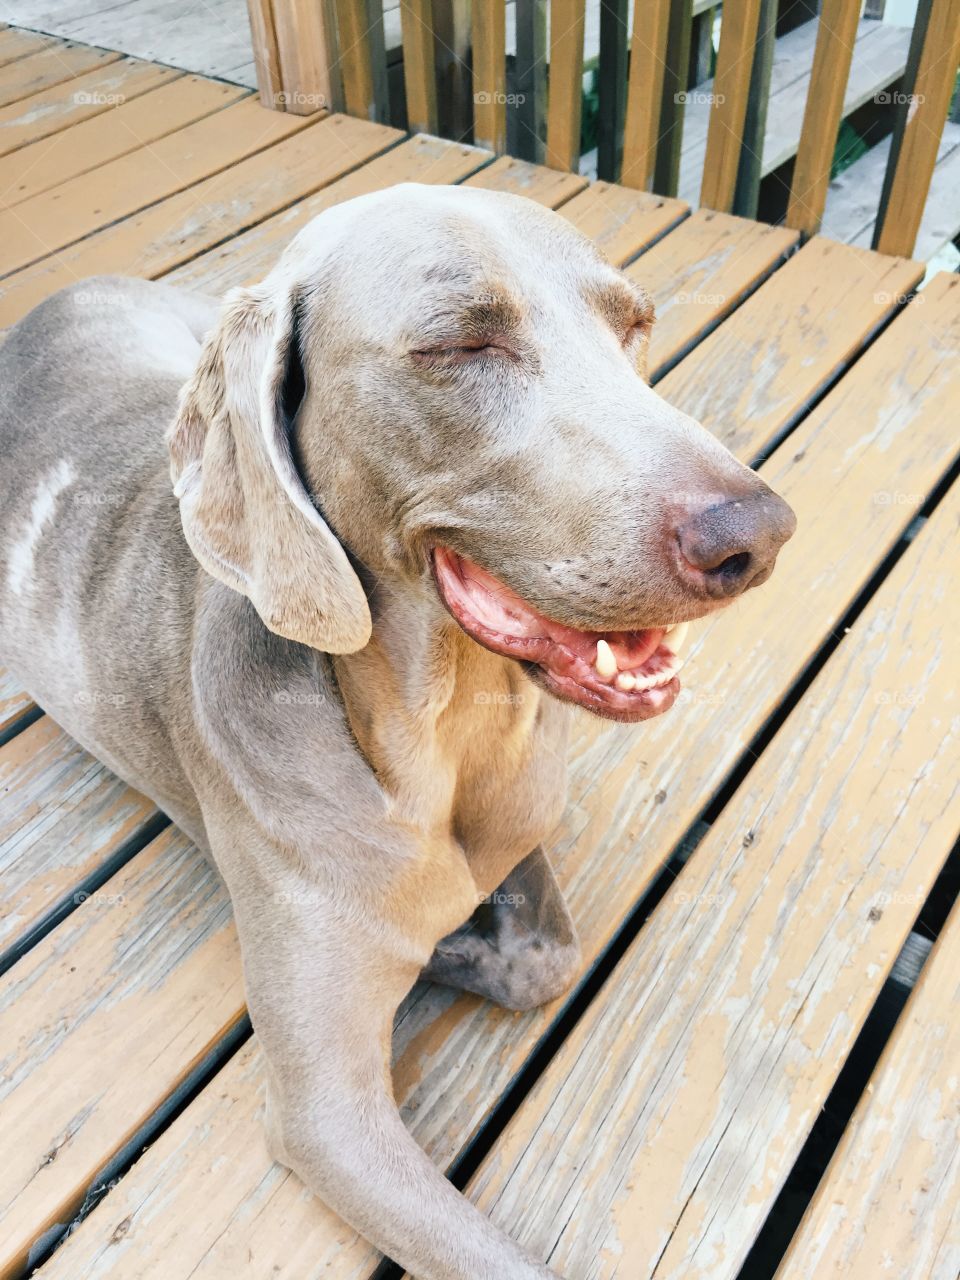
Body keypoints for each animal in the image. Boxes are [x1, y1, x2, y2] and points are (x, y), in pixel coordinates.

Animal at [0, 185, 798, 1274]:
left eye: (633, 324)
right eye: (459, 344)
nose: (756, 534)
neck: (447, 733)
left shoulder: (520, 823)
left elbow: (544, 957)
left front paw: (461, 940)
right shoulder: (327, 1115)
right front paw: (438, 942)